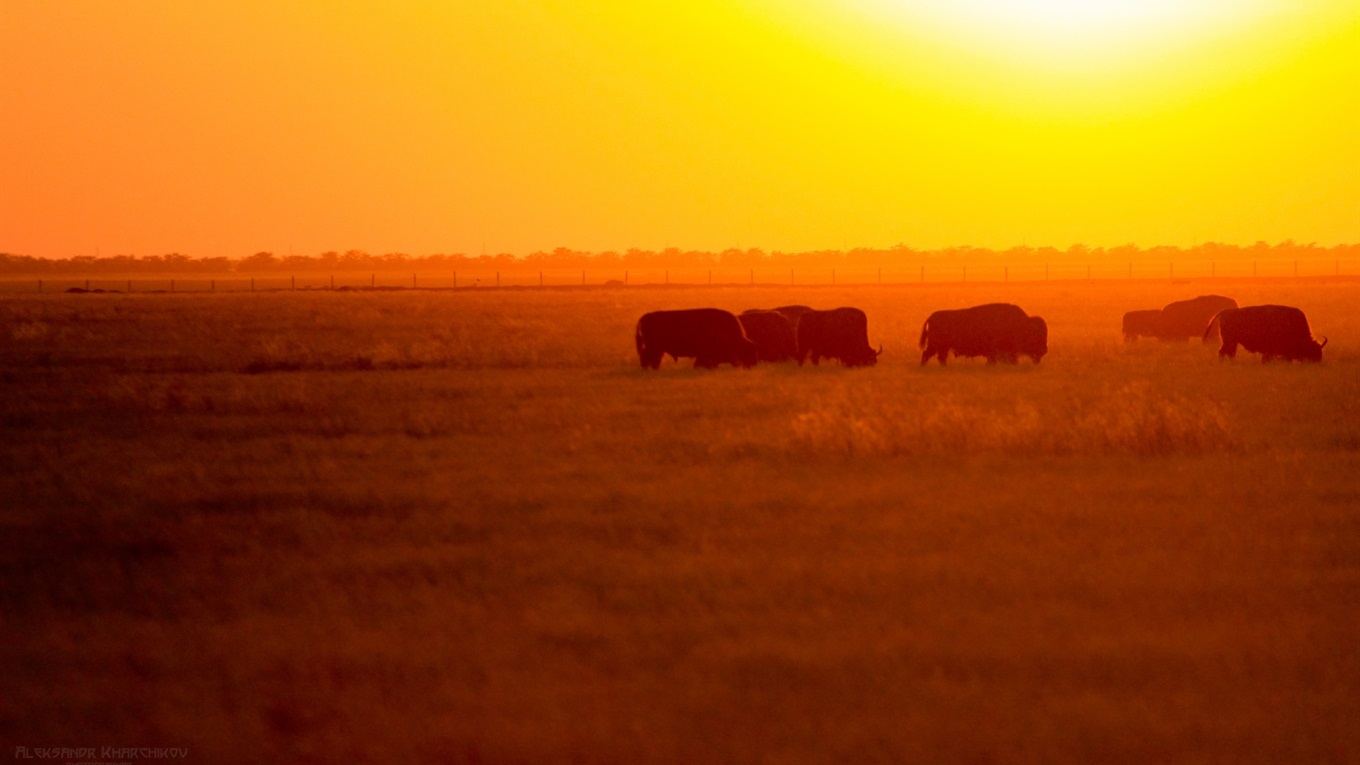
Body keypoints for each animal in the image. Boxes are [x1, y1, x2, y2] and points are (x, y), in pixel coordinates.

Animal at [633, 307, 761, 370]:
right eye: (748, 351)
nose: (753, 364)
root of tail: (646, 316)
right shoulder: (705, 354)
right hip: (654, 348)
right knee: (649, 359)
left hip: (656, 349)